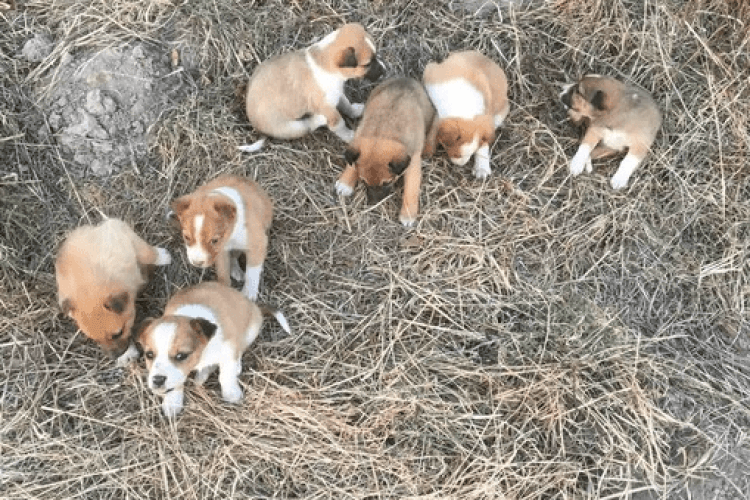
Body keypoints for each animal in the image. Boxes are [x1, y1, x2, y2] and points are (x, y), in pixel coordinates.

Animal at [56, 217, 173, 366]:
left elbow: (147, 253)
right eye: (95, 340)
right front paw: (127, 355)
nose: (114, 356)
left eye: (117, 334)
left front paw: (162, 256)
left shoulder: (128, 239)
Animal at [137, 282, 290, 418]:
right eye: (149, 355)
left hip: (250, 332)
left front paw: (231, 394)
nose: (157, 380)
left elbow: (226, 375)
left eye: (181, 356)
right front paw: (172, 403)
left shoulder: (229, 352)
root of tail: (254, 306)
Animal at [241, 23, 384, 152]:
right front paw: (351, 136)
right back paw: (320, 119)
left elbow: (346, 105)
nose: (385, 70)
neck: (325, 64)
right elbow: (339, 124)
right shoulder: (327, 108)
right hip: (293, 127)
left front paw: (355, 111)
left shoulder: (336, 94)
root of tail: (256, 127)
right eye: (367, 64)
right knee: (308, 126)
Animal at [336, 76, 440, 227]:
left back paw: (428, 147)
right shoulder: (359, 136)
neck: (383, 132)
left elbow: (411, 188)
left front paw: (408, 215)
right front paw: (345, 182)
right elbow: (352, 163)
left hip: (430, 113)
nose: (374, 203)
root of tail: (405, 78)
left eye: (386, 183)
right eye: (363, 181)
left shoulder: (413, 162)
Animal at [424, 50, 512, 180]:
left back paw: (482, 168)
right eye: (456, 154)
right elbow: (434, 127)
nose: (459, 165)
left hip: (499, 114)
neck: (462, 103)